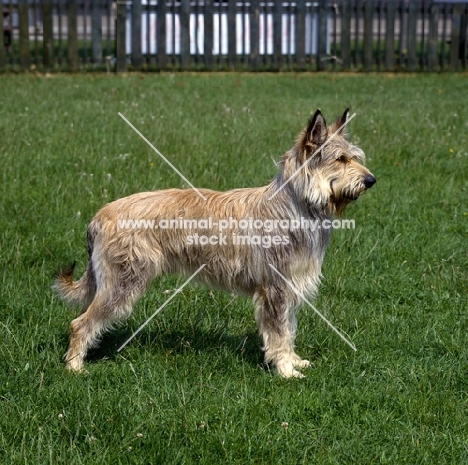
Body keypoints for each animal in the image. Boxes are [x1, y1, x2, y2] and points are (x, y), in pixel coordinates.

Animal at [54, 109, 376, 376]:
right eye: (341, 159)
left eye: (355, 157)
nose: (371, 180)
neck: (294, 205)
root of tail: (99, 216)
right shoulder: (275, 290)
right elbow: (279, 332)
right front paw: (286, 371)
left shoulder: (290, 288)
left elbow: (289, 329)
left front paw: (294, 361)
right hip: (122, 285)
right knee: (80, 324)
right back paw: (75, 367)